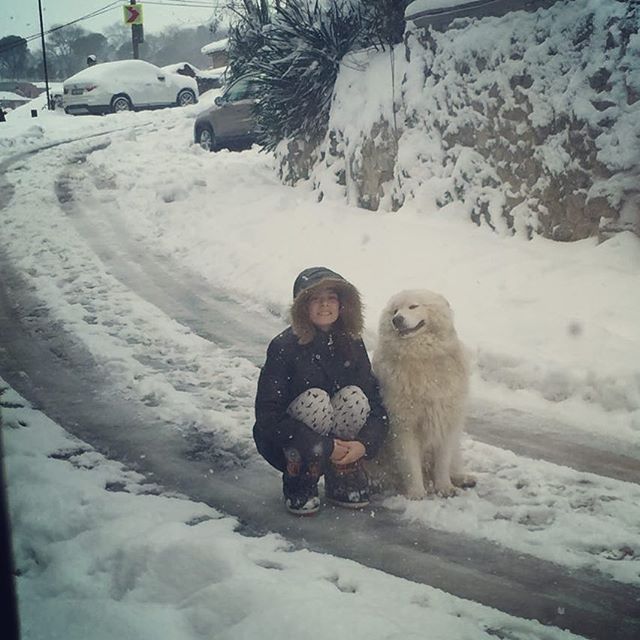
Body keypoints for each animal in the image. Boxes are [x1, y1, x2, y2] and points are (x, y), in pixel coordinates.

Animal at [370, 292, 476, 500]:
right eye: (395, 310)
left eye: (413, 306)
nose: (396, 320)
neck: (421, 355)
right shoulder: (403, 423)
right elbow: (410, 461)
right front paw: (416, 493)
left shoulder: (446, 418)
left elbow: (443, 459)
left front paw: (445, 488)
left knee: (453, 461)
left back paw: (464, 478)